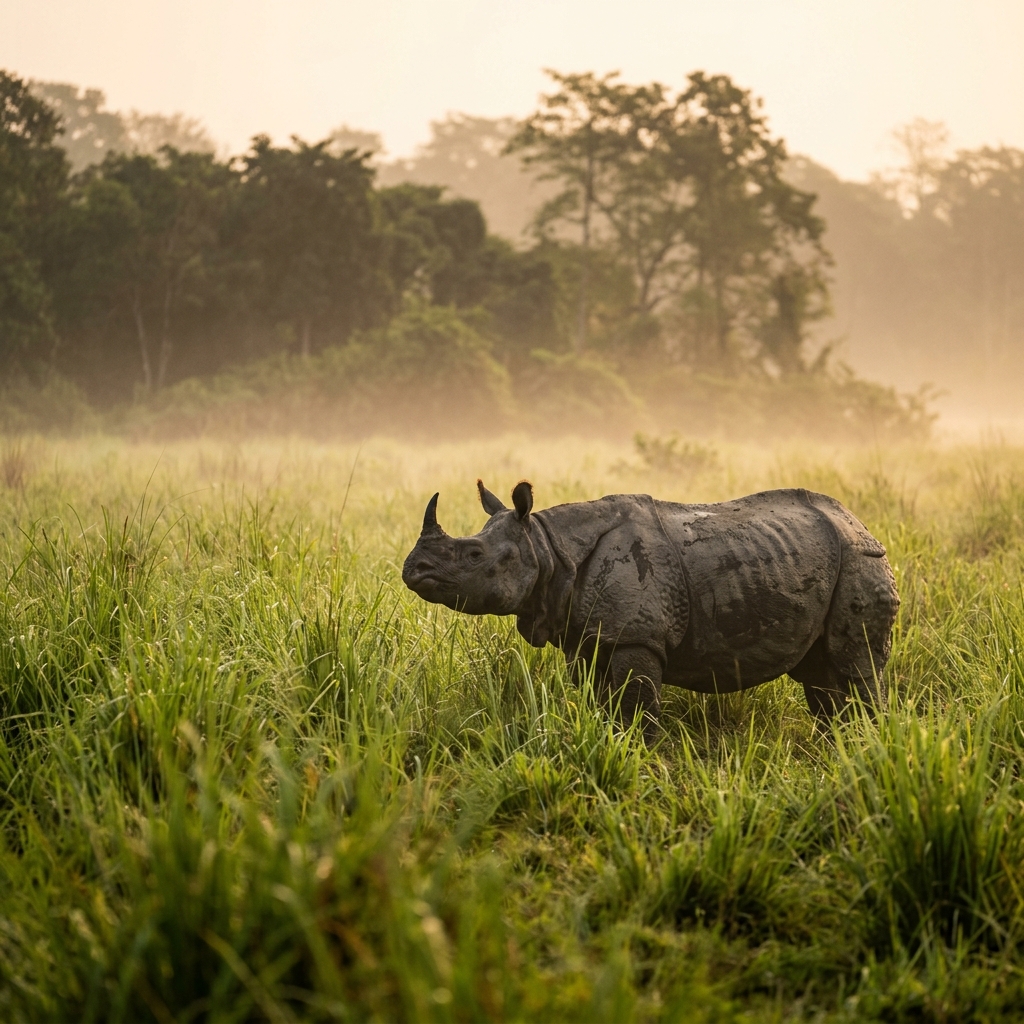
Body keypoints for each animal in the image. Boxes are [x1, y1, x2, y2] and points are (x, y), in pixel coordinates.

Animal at [402, 480, 899, 740]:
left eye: (473, 556)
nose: (413, 569)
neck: (546, 546)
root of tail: (860, 522)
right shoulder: (585, 638)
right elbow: (598, 699)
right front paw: (608, 743)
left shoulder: (637, 636)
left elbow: (637, 706)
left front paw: (641, 755)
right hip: (823, 555)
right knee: (820, 674)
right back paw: (835, 747)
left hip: (860, 558)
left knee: (856, 665)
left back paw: (865, 744)